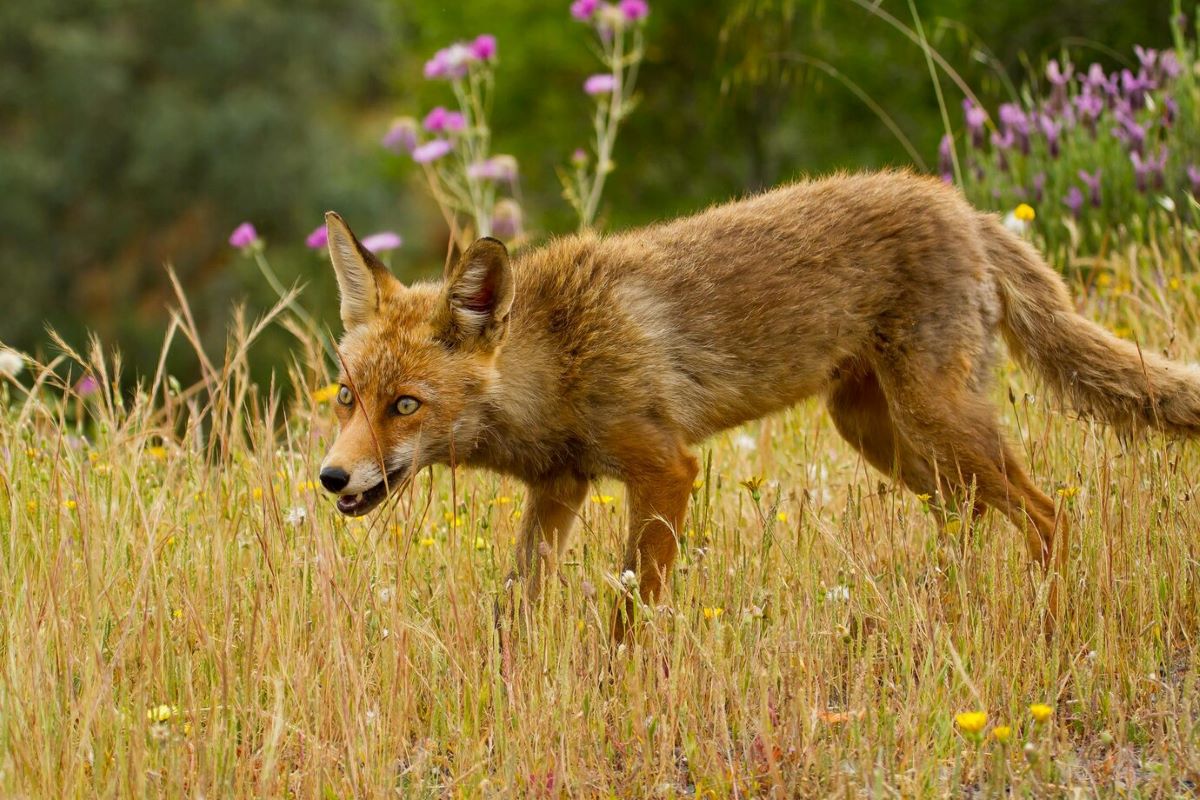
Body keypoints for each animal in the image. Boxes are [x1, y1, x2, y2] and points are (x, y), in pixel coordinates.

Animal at [316, 170, 1200, 633]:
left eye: (406, 406)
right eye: (349, 396)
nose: (329, 478)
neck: (556, 359)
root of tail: (961, 205)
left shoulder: (666, 468)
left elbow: (632, 609)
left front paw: (618, 689)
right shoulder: (559, 488)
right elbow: (516, 607)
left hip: (938, 422)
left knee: (1046, 515)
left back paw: (1048, 623)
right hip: (883, 434)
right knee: (971, 515)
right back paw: (948, 606)